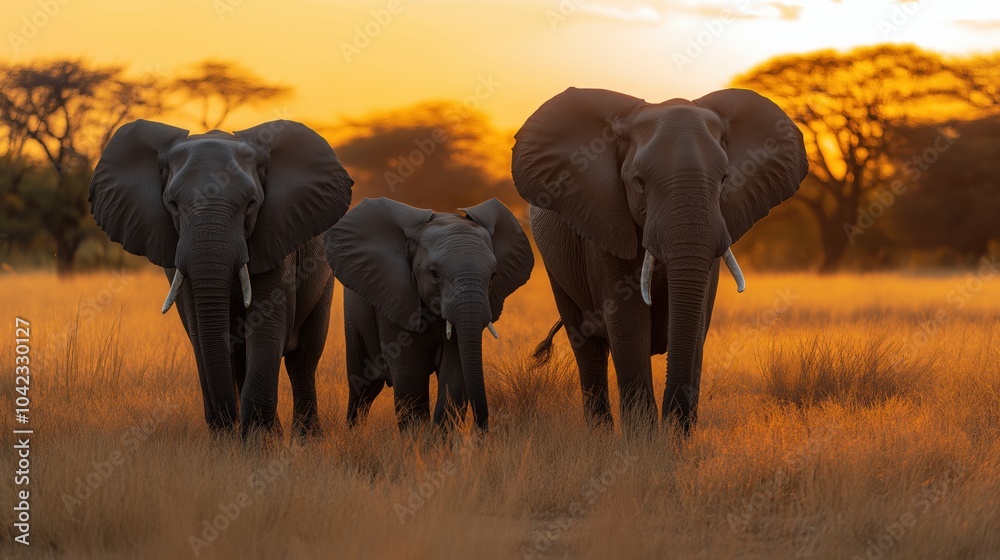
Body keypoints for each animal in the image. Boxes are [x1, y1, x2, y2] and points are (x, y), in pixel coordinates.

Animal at [89, 119, 354, 438]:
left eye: (252, 203)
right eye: (172, 204)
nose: (229, 423)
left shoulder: (277, 236)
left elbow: (267, 321)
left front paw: (255, 441)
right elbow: (199, 329)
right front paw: (231, 438)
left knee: (303, 359)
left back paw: (306, 439)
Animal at [324, 197, 534, 431]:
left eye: (493, 276)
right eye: (434, 274)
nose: (482, 431)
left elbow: (455, 370)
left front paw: (439, 440)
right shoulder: (395, 296)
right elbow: (410, 372)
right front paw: (417, 439)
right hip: (354, 321)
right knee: (363, 387)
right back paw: (353, 434)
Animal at [511, 88, 807, 432]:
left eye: (724, 180)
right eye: (639, 182)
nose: (674, 421)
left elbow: (698, 322)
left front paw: (678, 437)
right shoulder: (604, 222)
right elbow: (628, 321)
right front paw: (644, 439)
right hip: (555, 266)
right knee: (586, 345)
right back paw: (599, 434)